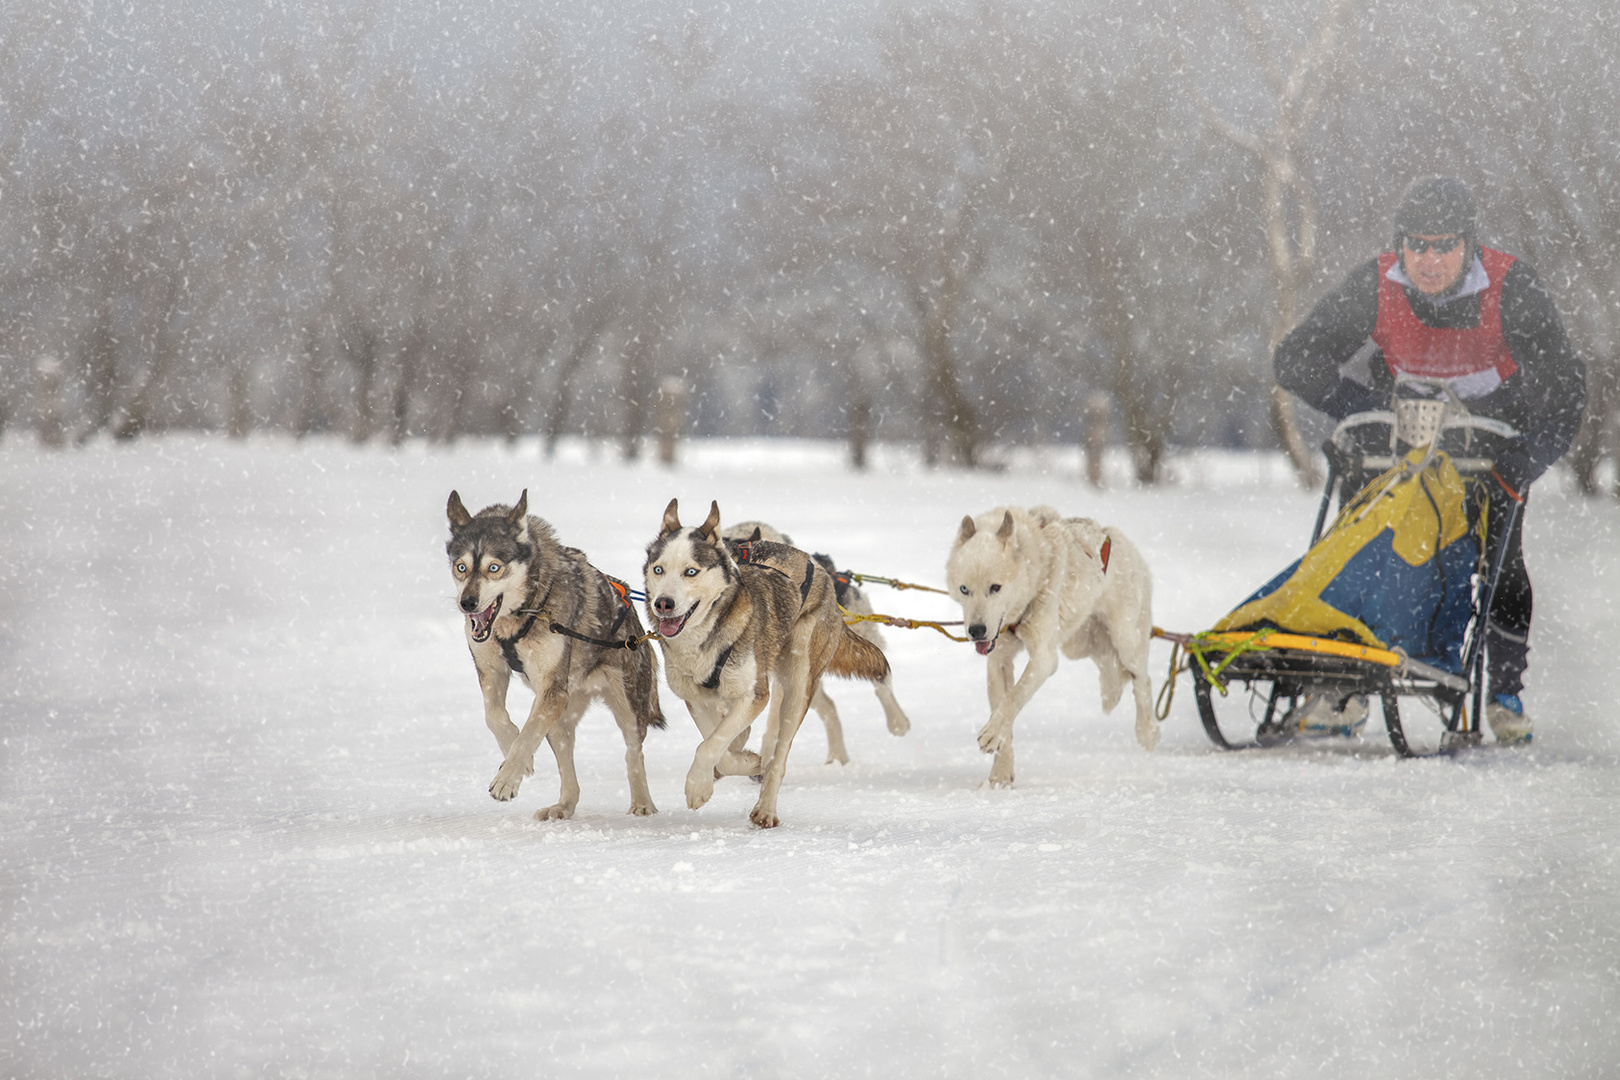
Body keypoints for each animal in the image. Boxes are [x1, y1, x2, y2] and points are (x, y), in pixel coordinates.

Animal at [447, 488, 660, 819]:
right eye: (461, 567)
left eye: (494, 567)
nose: (467, 603)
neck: (522, 612)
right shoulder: (492, 671)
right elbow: (495, 717)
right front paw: (514, 756)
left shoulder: (551, 690)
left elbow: (526, 735)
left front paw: (508, 777)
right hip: (561, 714)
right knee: (566, 766)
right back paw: (563, 805)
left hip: (625, 702)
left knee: (632, 752)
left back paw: (642, 802)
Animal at [946, 508, 1159, 786]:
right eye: (964, 589)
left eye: (995, 588)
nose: (976, 631)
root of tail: (1114, 535)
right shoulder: (998, 660)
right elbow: (1002, 707)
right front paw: (1000, 774)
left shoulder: (1044, 658)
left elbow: (1014, 698)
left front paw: (992, 733)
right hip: (1079, 645)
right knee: (1109, 665)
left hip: (1126, 639)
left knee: (1142, 677)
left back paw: (1148, 731)